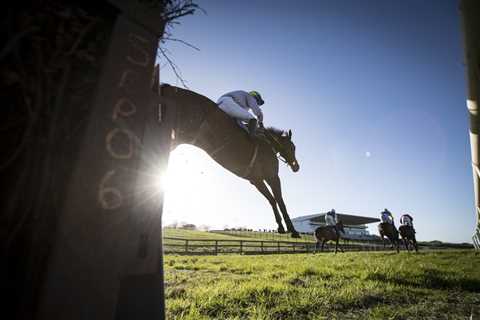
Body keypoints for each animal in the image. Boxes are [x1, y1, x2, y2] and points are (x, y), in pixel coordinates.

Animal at [163, 85, 302, 238]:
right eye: (292, 147)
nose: (296, 166)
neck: (269, 143)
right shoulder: (272, 176)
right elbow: (280, 201)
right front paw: (293, 230)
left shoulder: (257, 180)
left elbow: (271, 200)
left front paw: (281, 227)